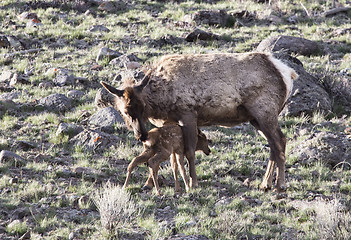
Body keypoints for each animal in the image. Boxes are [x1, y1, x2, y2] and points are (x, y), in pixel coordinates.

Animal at [101, 52, 296, 191]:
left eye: (142, 107)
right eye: (125, 111)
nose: (141, 135)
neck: (161, 102)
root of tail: (288, 74)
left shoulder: (188, 114)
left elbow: (190, 152)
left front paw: (193, 183)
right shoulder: (168, 123)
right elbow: (171, 158)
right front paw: (149, 183)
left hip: (265, 111)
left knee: (280, 141)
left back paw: (280, 184)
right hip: (255, 118)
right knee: (274, 144)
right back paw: (266, 183)